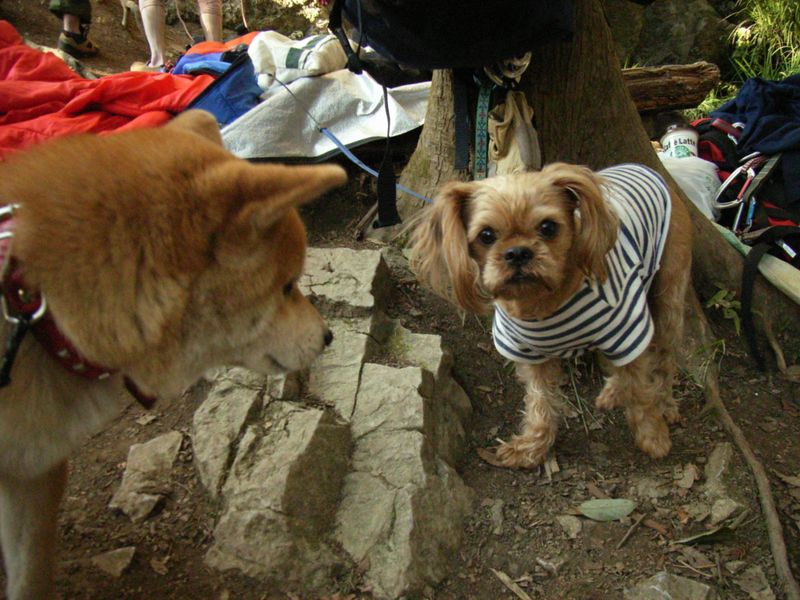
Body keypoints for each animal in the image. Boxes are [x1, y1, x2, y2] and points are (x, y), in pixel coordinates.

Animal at [409, 162, 692, 469]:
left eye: (547, 227)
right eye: (486, 235)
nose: (518, 252)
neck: (543, 303)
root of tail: (642, 167)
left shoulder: (628, 330)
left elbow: (641, 388)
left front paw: (653, 435)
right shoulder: (530, 354)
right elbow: (540, 400)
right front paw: (533, 446)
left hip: (669, 296)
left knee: (664, 358)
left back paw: (666, 404)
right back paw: (615, 391)